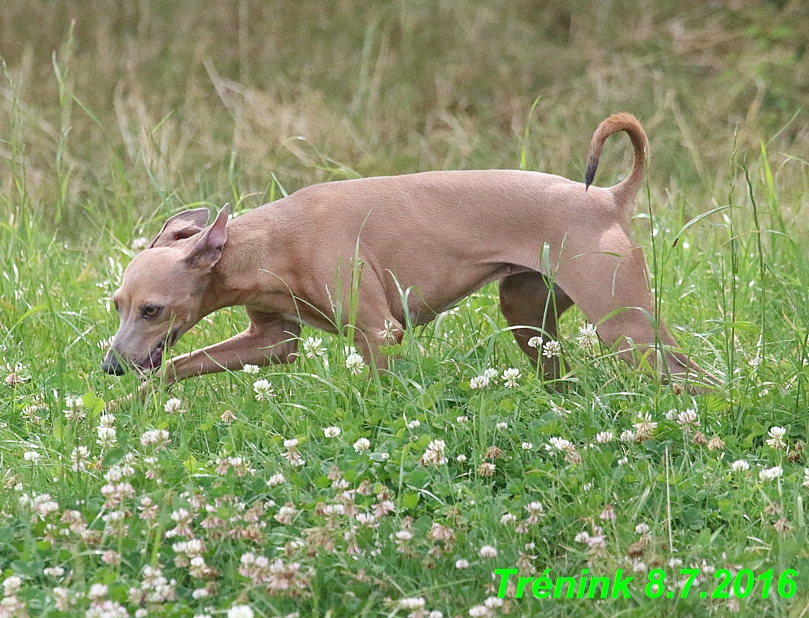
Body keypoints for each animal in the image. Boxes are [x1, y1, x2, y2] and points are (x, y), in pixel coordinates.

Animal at [104, 114, 704, 384]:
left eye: (152, 309)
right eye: (117, 306)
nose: (110, 366)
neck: (270, 243)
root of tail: (607, 196)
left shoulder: (377, 333)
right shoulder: (271, 341)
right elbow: (173, 368)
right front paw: (129, 405)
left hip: (624, 325)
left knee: (692, 375)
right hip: (528, 316)